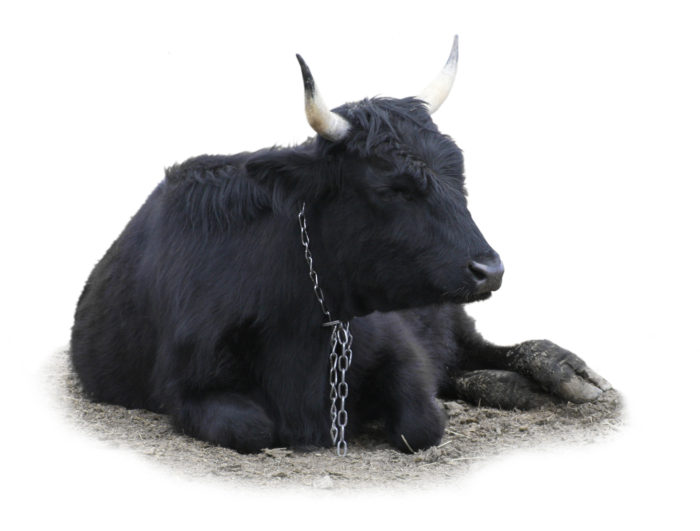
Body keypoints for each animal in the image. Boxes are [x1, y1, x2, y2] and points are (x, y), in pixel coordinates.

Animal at [70, 37, 611, 455]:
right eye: (392, 187)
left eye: (459, 173)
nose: (490, 269)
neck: (302, 317)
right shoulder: (185, 388)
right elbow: (252, 428)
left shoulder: (399, 348)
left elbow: (422, 422)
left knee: (488, 349)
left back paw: (565, 373)